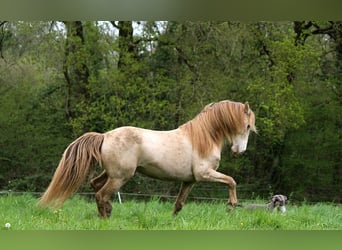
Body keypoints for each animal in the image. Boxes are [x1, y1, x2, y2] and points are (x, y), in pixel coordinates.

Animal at [38, 99, 255, 217]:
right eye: (247, 126)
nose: (239, 151)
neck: (203, 137)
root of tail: (105, 136)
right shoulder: (205, 174)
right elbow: (231, 181)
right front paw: (232, 204)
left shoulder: (190, 180)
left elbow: (179, 204)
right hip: (120, 177)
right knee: (101, 194)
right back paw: (106, 218)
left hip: (111, 173)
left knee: (95, 185)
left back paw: (108, 211)